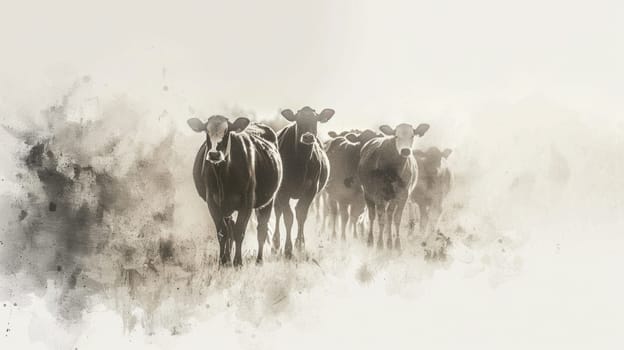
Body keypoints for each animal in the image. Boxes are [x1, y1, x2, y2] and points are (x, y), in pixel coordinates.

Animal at [186, 115, 282, 266]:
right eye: (206, 131)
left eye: (227, 132)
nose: (214, 154)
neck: (223, 175)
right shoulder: (212, 202)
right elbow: (222, 232)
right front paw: (222, 261)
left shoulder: (247, 202)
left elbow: (239, 231)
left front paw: (238, 262)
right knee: (229, 228)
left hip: (268, 201)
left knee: (261, 229)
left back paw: (259, 260)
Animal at [272, 106, 334, 258]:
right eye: (298, 121)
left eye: (315, 120)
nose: (308, 137)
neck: (300, 162)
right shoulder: (283, 191)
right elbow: (288, 217)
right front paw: (288, 249)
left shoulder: (311, 191)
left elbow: (301, 215)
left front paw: (299, 245)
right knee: (277, 212)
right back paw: (275, 244)